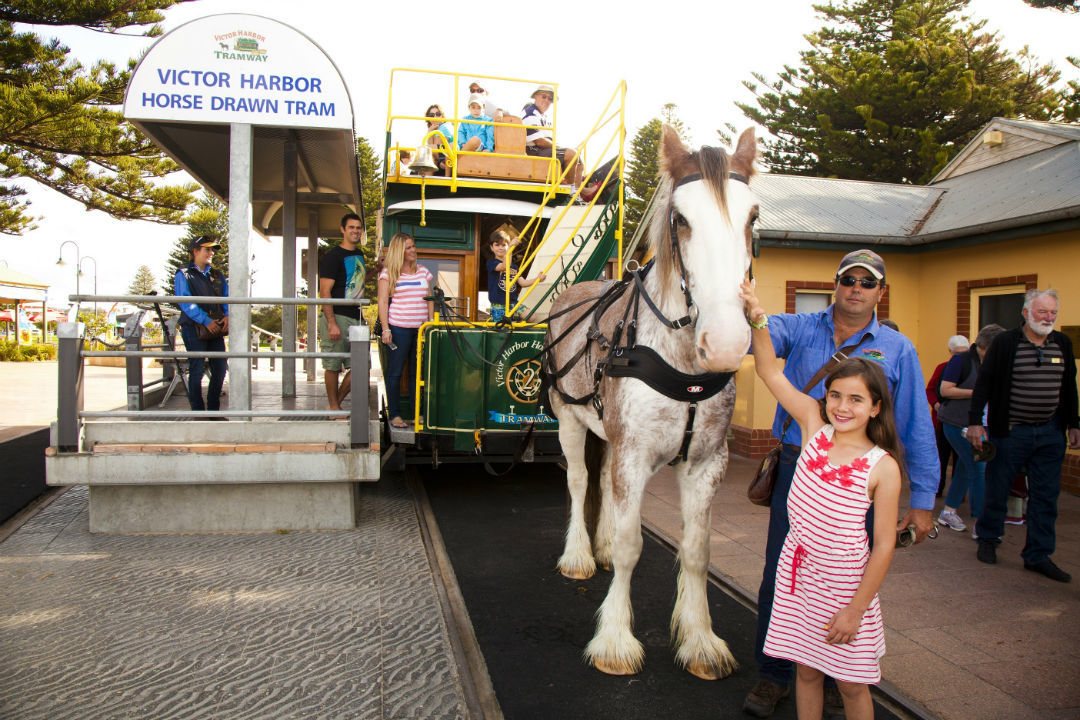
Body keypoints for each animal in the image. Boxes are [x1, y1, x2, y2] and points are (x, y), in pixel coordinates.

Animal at [544, 125, 756, 682]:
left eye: (753, 217)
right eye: (681, 219)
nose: (726, 342)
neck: (680, 365)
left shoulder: (706, 463)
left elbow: (698, 550)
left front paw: (700, 640)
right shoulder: (634, 456)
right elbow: (631, 546)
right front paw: (616, 640)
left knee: (600, 482)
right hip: (568, 418)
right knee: (580, 481)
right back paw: (579, 553)